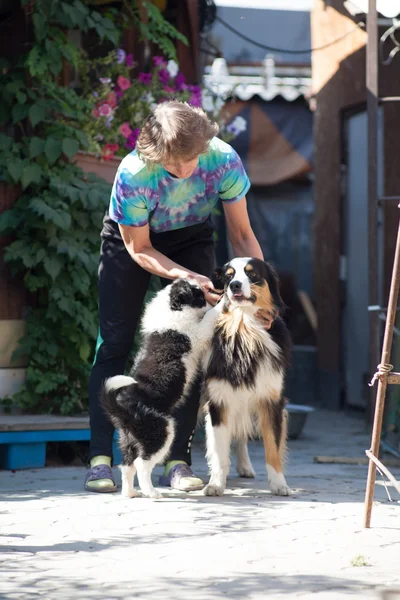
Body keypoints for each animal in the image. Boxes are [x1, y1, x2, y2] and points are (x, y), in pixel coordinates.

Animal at [100, 278, 219, 500]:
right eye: (199, 295)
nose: (212, 297)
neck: (171, 308)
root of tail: (122, 409)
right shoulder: (195, 334)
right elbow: (209, 319)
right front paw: (223, 303)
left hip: (130, 439)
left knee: (127, 466)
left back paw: (130, 493)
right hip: (160, 432)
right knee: (141, 464)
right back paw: (152, 493)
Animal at [203, 258, 290, 496]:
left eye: (252, 274)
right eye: (228, 276)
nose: (234, 285)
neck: (244, 325)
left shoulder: (272, 400)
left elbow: (273, 447)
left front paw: (279, 484)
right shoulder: (219, 401)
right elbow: (219, 450)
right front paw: (216, 483)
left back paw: (245, 467)